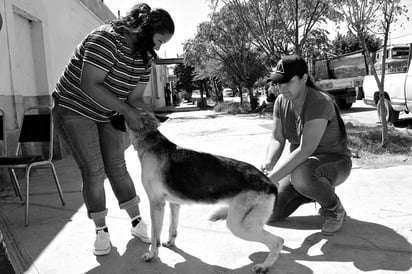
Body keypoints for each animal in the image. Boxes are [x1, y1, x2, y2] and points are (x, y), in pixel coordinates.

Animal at [128, 112, 284, 272]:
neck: (150, 140)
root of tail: (270, 182)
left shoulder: (156, 204)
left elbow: (155, 235)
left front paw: (152, 255)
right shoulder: (174, 204)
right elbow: (172, 227)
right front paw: (170, 243)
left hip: (239, 226)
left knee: (278, 241)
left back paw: (264, 266)